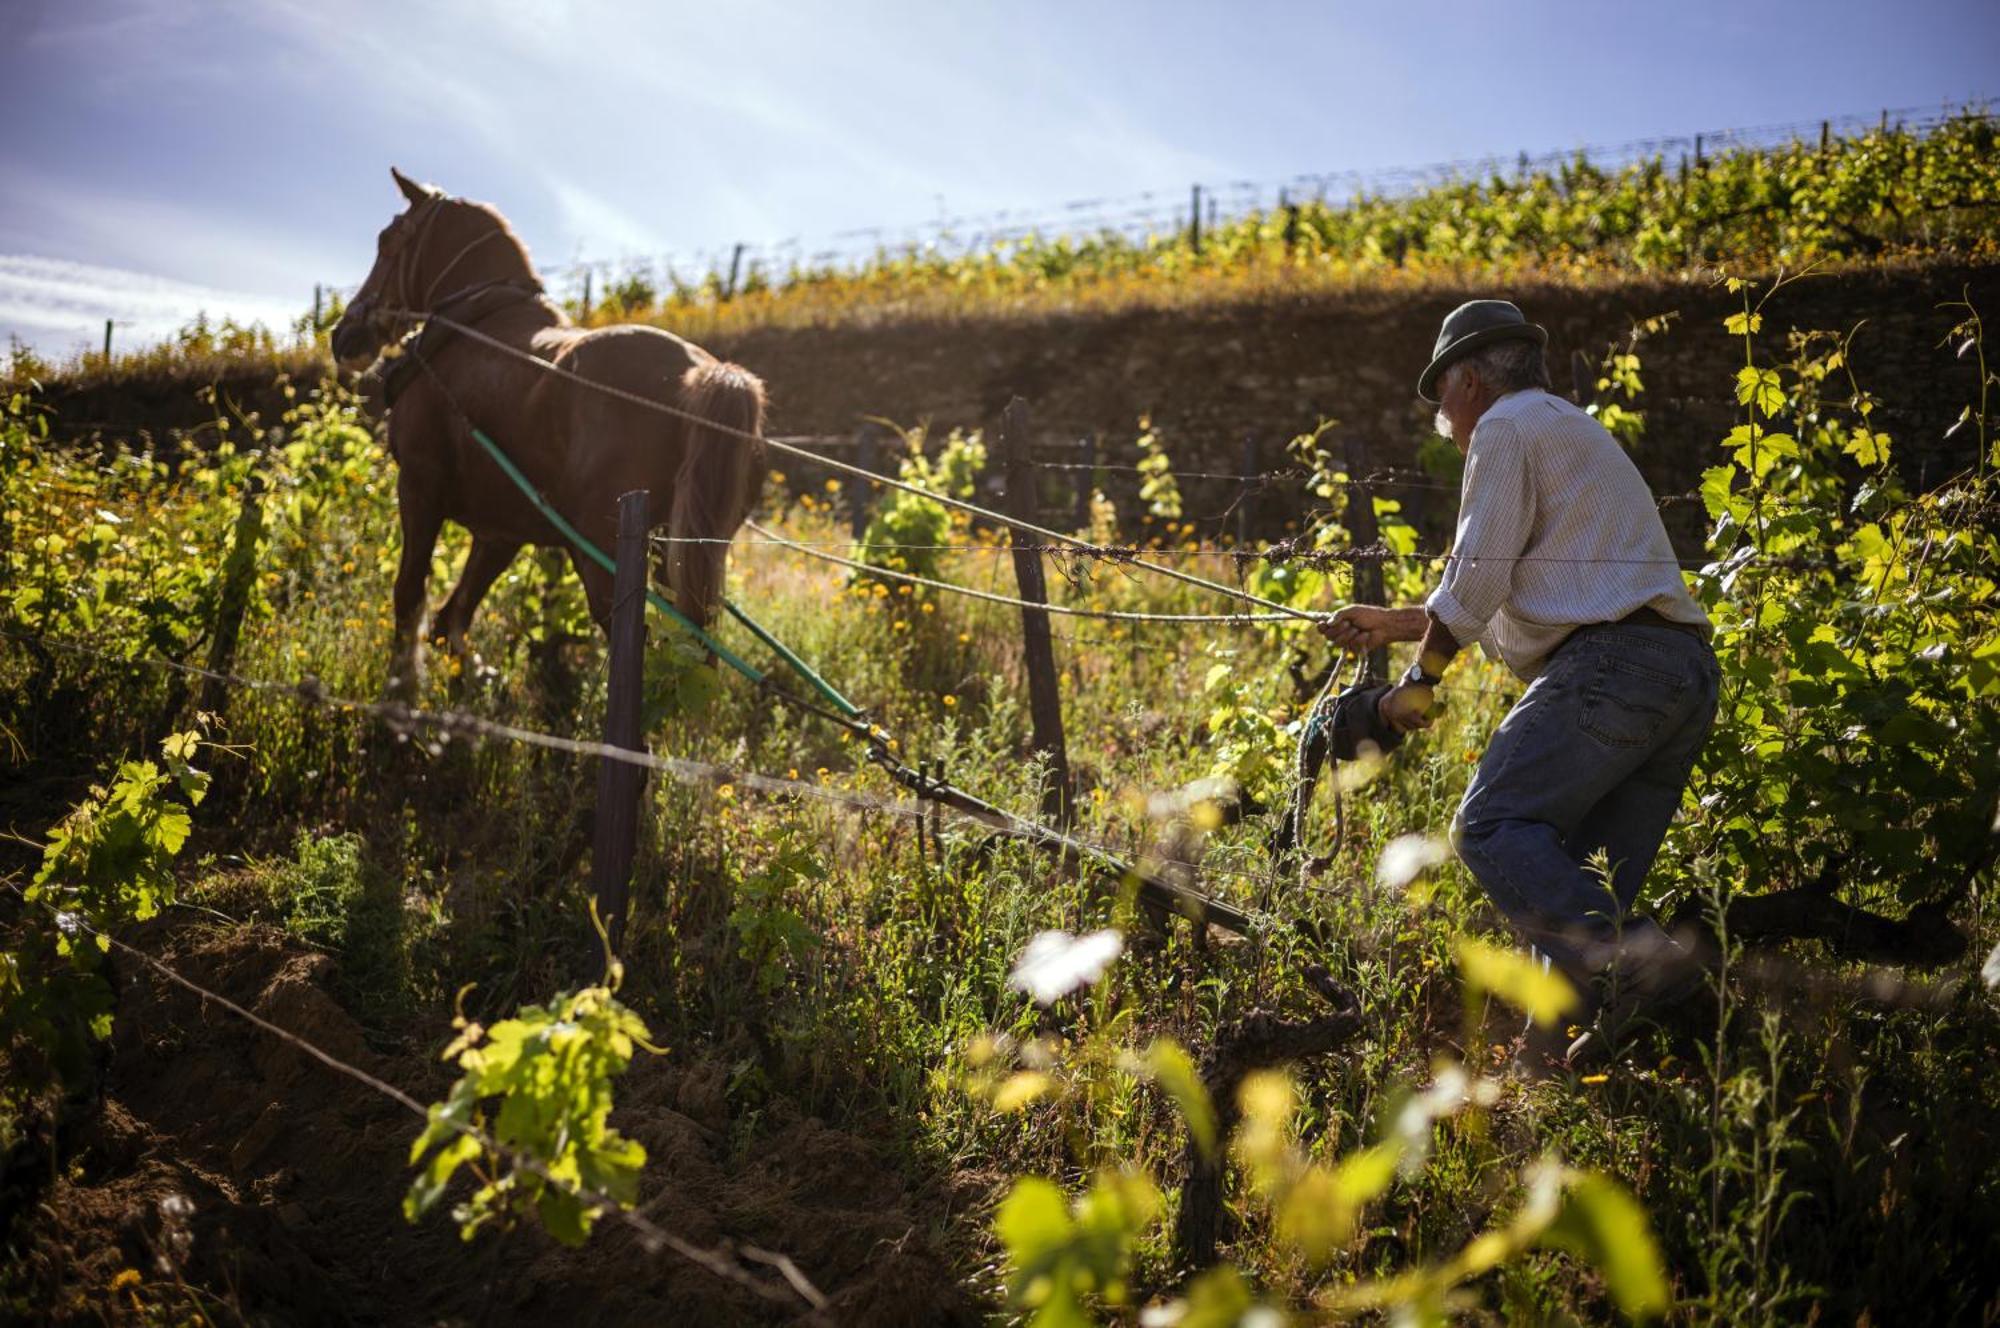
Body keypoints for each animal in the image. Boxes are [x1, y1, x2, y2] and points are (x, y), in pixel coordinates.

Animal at [328, 166, 764, 696]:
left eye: (387, 240)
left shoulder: (418, 487)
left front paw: (402, 688)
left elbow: (409, 594)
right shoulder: (502, 530)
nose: (342, 335)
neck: (468, 327)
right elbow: (453, 617)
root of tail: (701, 374)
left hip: (604, 559)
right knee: (693, 653)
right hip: (684, 557)